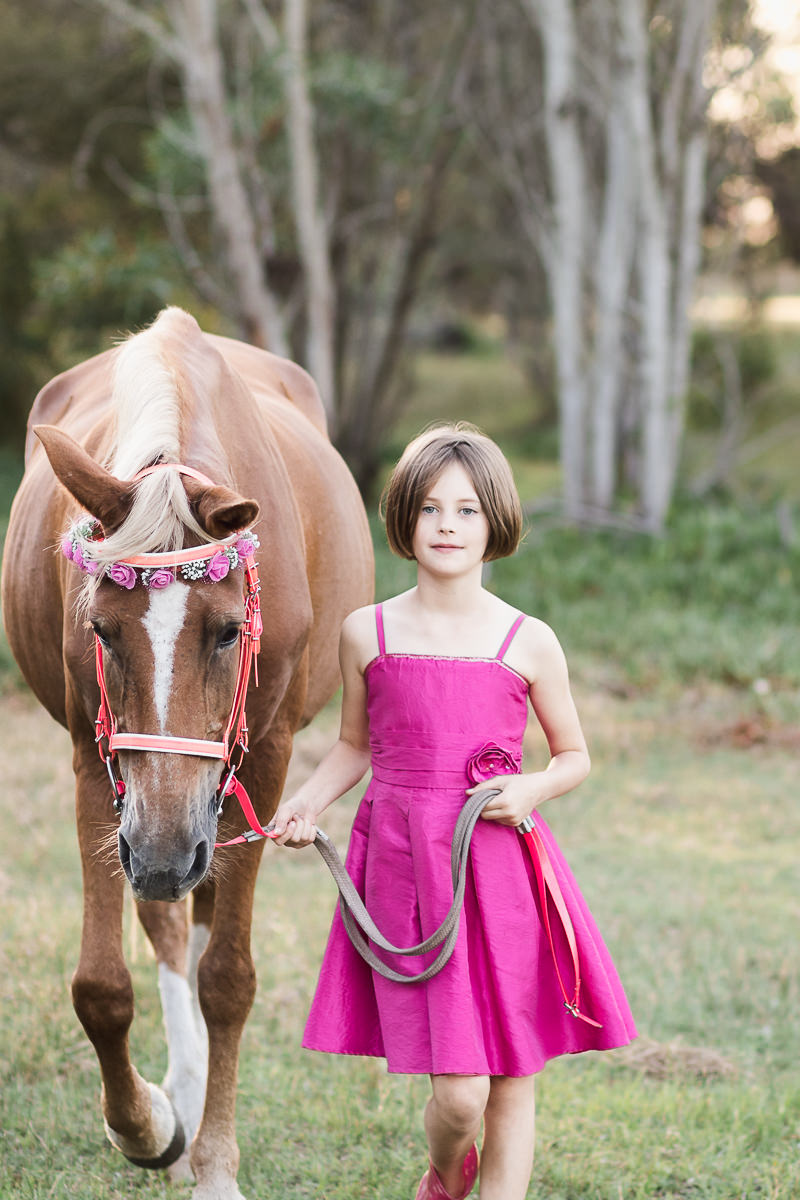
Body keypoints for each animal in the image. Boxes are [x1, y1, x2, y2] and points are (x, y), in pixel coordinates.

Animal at [0, 307, 373, 1199]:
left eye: (229, 631)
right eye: (101, 630)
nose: (165, 851)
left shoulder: (263, 759)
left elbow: (228, 978)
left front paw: (216, 1165)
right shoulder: (97, 760)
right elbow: (102, 985)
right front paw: (146, 1127)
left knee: (197, 920)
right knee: (166, 920)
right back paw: (183, 1087)